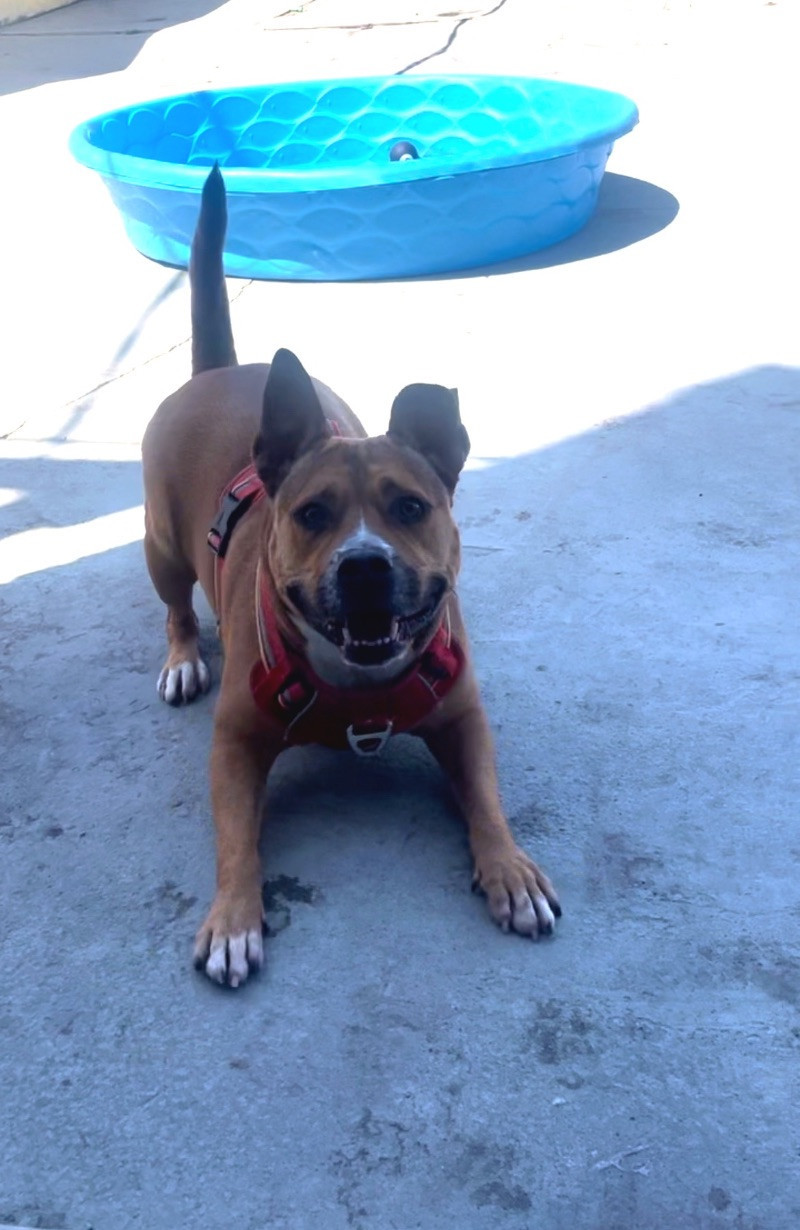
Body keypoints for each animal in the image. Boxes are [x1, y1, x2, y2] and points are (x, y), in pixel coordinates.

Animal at [140, 168, 558, 984]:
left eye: (410, 507)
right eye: (311, 514)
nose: (365, 565)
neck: (357, 685)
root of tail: (218, 372)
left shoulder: (464, 721)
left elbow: (489, 802)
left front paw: (510, 868)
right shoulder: (233, 746)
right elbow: (236, 841)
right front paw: (234, 917)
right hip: (162, 547)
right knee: (175, 607)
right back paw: (181, 659)